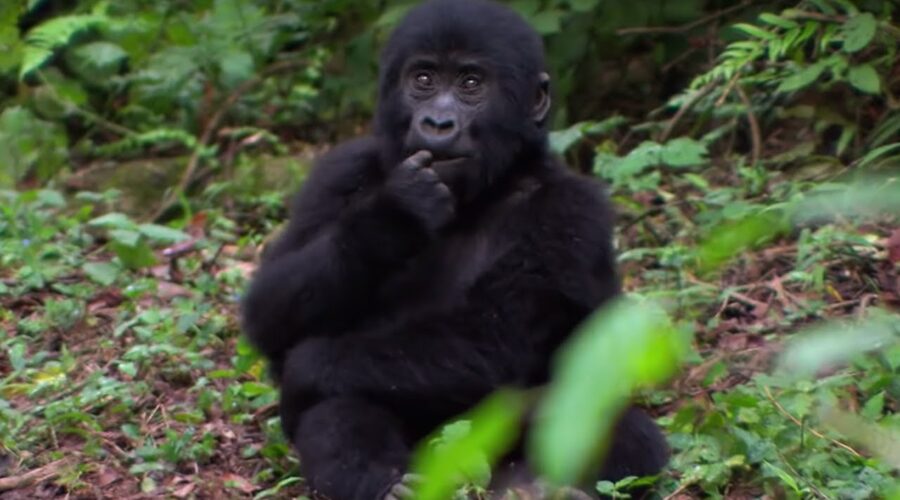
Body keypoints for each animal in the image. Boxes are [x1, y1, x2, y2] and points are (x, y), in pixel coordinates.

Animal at [244, 1, 668, 498]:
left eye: (470, 84)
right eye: (424, 79)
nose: (438, 123)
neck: (488, 190)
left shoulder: (571, 209)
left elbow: (494, 339)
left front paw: (304, 370)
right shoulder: (338, 172)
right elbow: (269, 309)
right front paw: (392, 218)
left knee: (624, 433)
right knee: (340, 406)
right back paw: (386, 484)